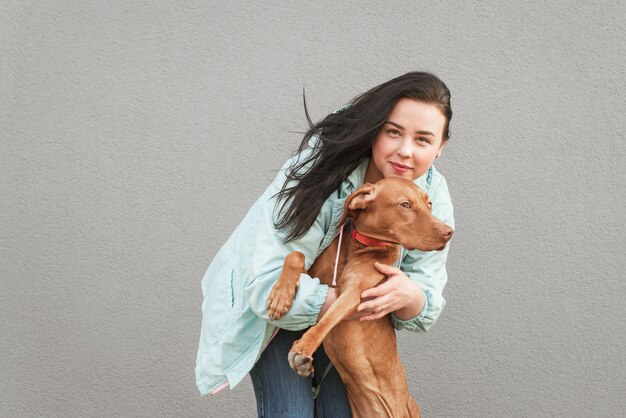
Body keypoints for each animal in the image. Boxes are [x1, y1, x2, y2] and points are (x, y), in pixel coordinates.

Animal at [266, 177, 450, 418]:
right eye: (405, 205)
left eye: (429, 205)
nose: (449, 232)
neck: (360, 245)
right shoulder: (316, 279)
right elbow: (295, 255)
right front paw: (280, 297)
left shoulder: (354, 294)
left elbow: (327, 321)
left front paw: (303, 349)